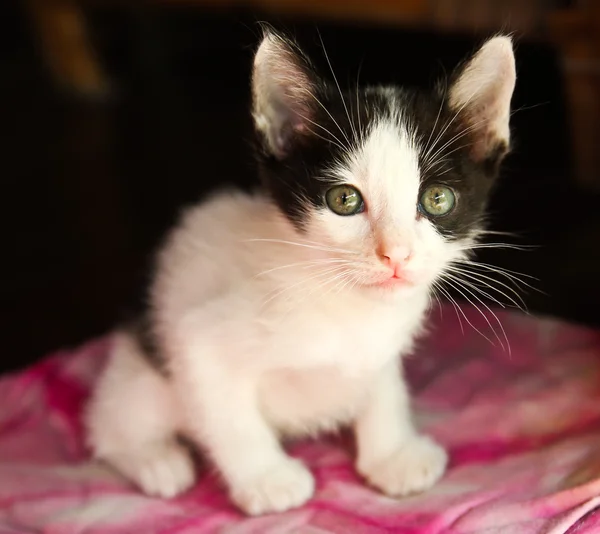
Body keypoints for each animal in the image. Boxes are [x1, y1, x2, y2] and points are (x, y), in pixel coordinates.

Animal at [84, 30, 516, 520]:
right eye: (344, 199)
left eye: (438, 199)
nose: (396, 254)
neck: (344, 302)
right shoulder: (198, 339)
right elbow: (230, 417)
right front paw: (267, 479)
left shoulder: (381, 347)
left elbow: (383, 386)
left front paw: (392, 454)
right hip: (145, 375)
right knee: (111, 423)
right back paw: (156, 460)